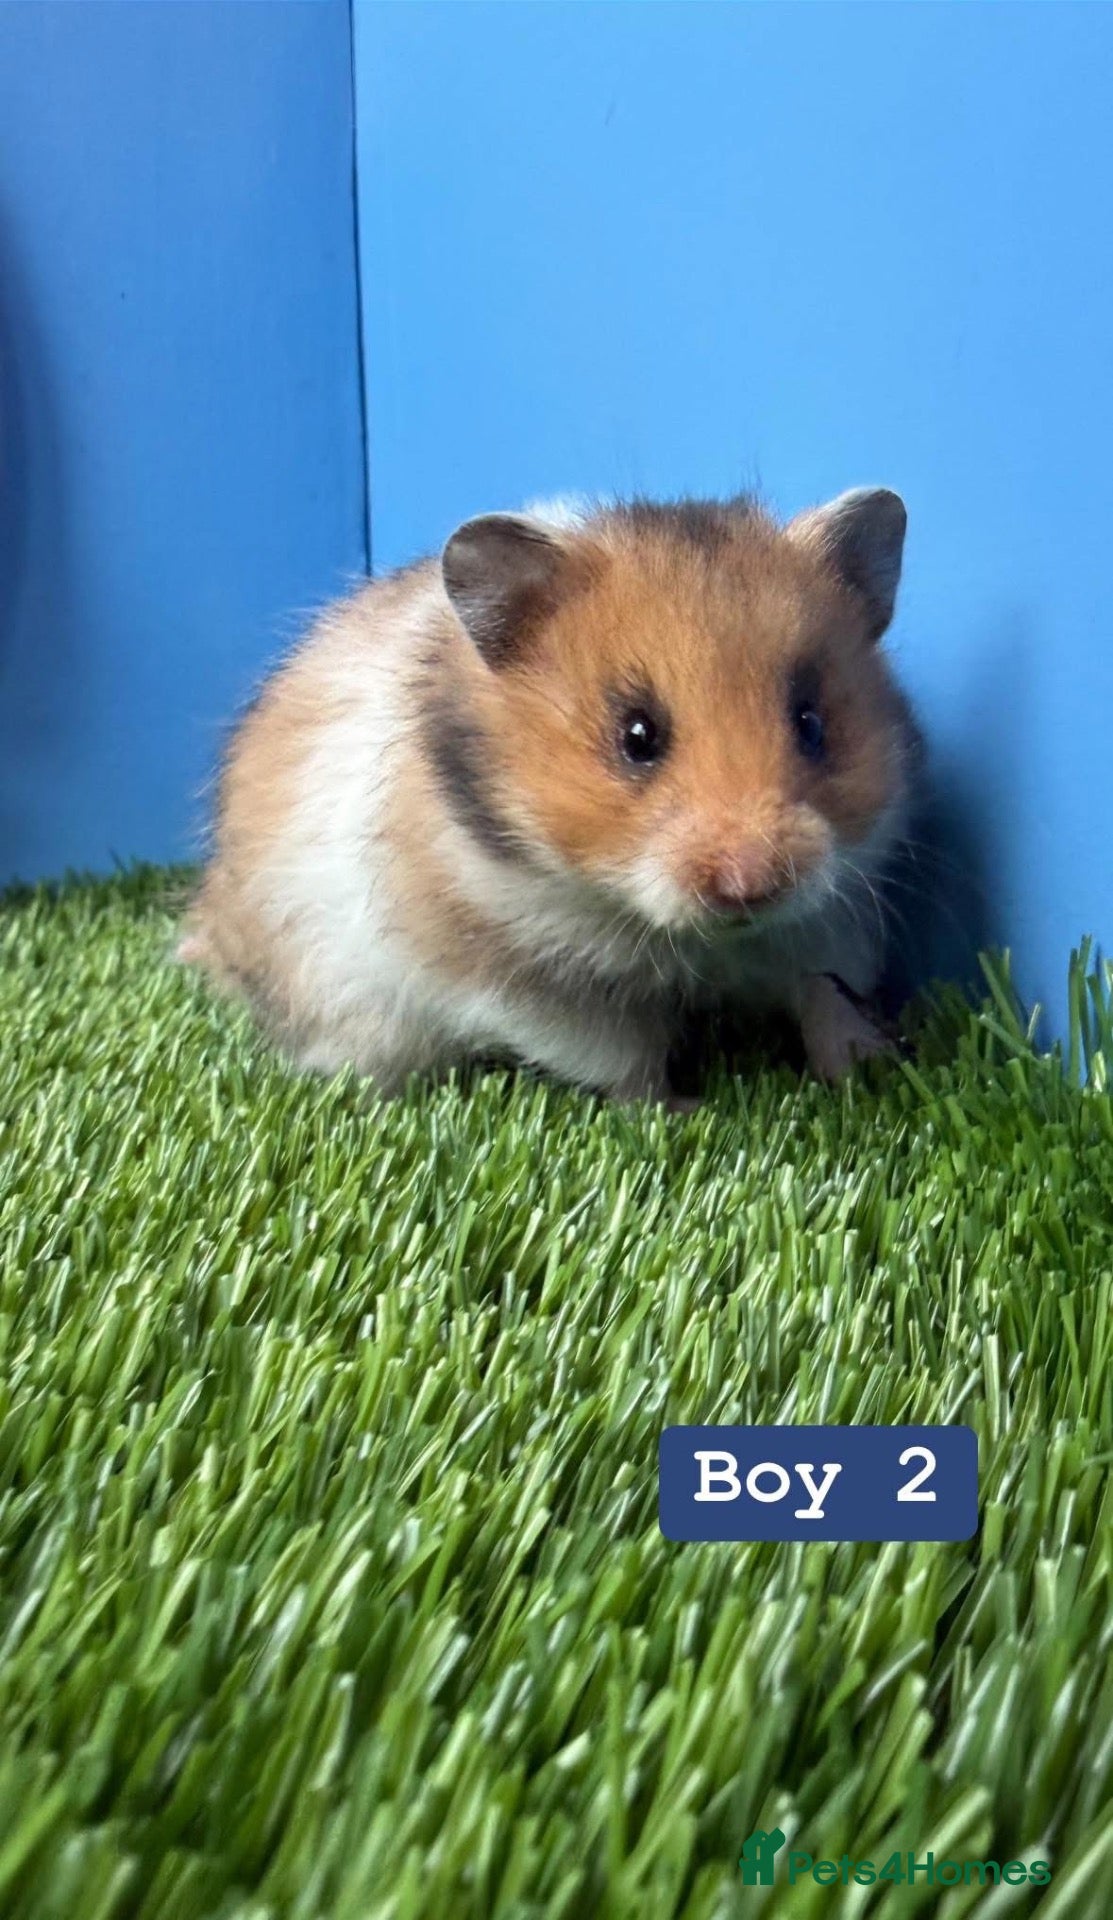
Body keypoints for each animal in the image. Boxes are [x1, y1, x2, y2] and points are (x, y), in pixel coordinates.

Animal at [180, 489, 919, 1101]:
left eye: (812, 723)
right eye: (637, 735)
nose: (751, 885)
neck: (695, 938)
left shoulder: (829, 920)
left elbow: (822, 994)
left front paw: (865, 1069)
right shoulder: (529, 987)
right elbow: (627, 1059)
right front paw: (682, 1110)